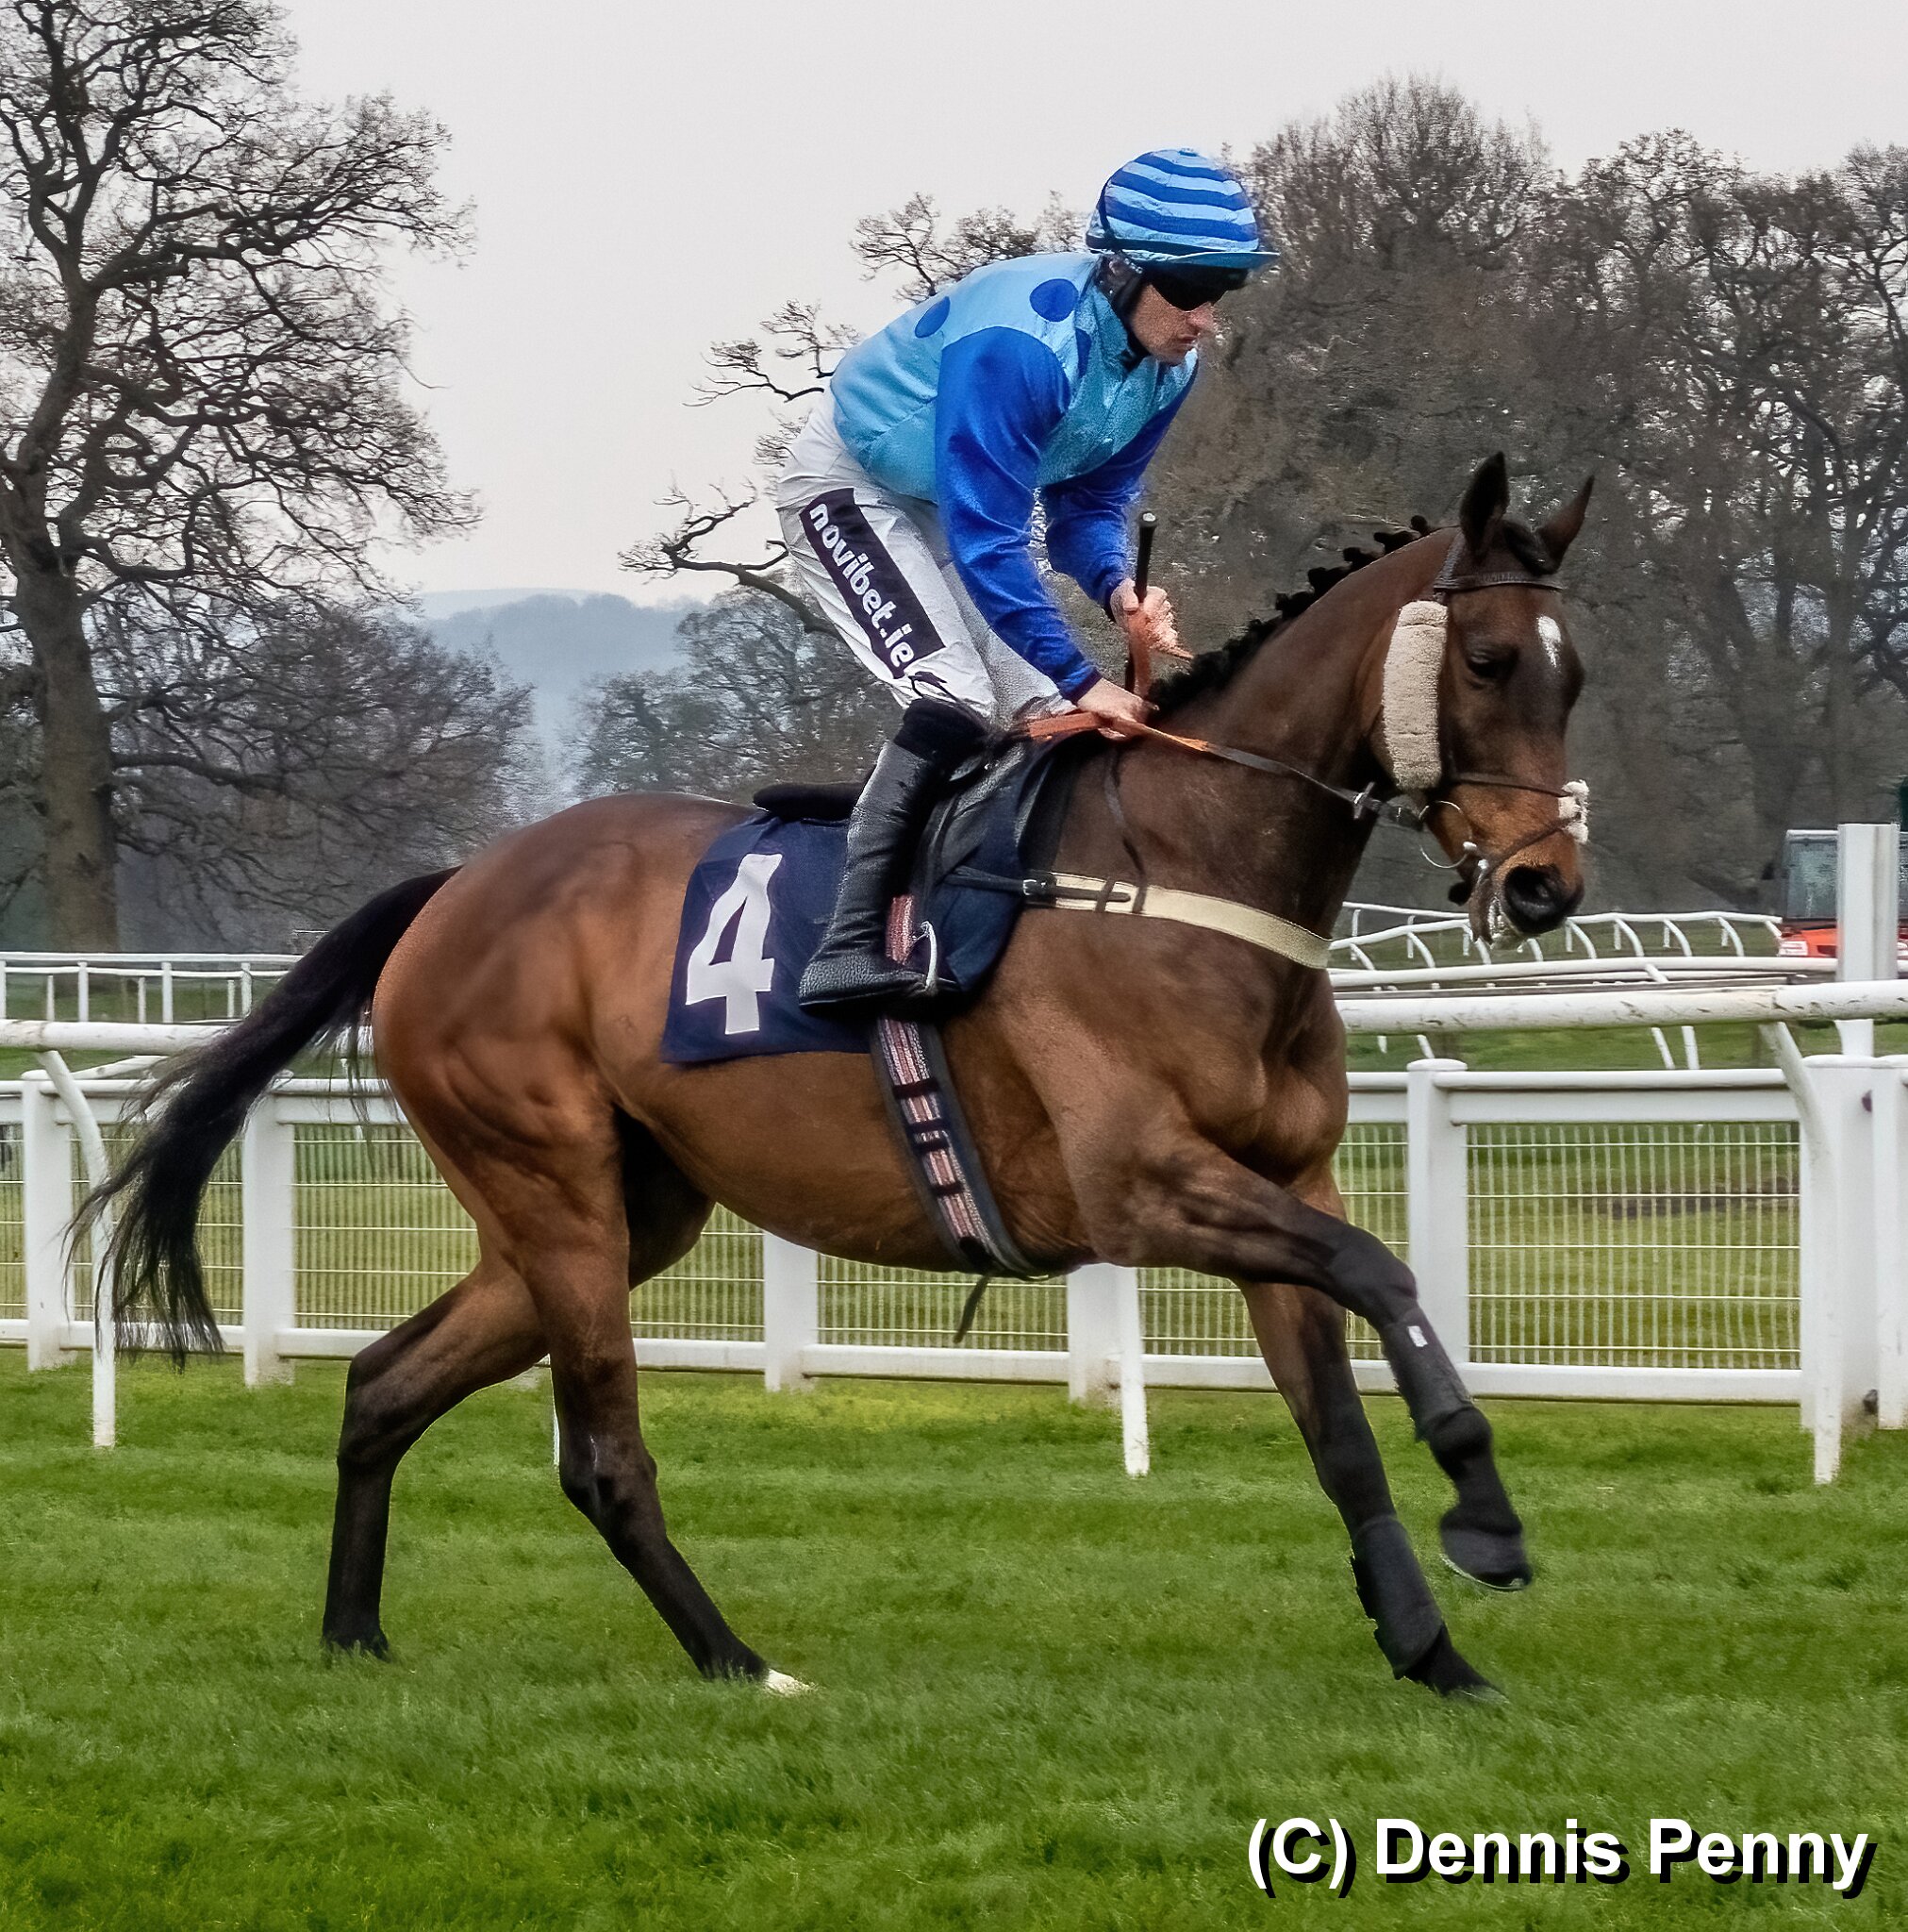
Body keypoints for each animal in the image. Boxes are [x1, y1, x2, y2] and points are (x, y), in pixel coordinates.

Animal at [94, 452, 1592, 1699]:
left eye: (1570, 677)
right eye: (1487, 660)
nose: (1543, 887)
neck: (1182, 867)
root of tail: (455, 887)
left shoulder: (1280, 1177)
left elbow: (1337, 1414)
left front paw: (1431, 1649)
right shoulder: (1140, 1183)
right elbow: (1382, 1273)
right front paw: (1485, 1515)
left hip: (620, 1212)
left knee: (382, 1385)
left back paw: (353, 1630)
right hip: (553, 1188)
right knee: (601, 1456)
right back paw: (737, 1660)